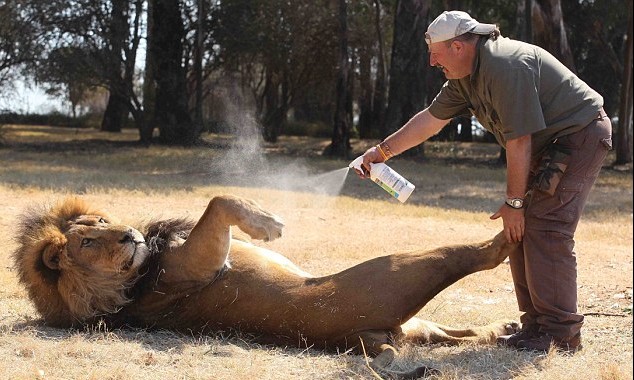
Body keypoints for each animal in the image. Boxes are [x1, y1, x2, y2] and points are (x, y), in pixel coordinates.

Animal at [13, 194, 520, 378]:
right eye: (88, 242)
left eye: (99, 223)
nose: (128, 236)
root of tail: (361, 341)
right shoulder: (201, 262)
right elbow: (220, 200)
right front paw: (268, 223)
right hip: (397, 270)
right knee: (474, 257)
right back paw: (506, 233)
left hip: (416, 325)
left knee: (457, 334)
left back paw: (505, 329)